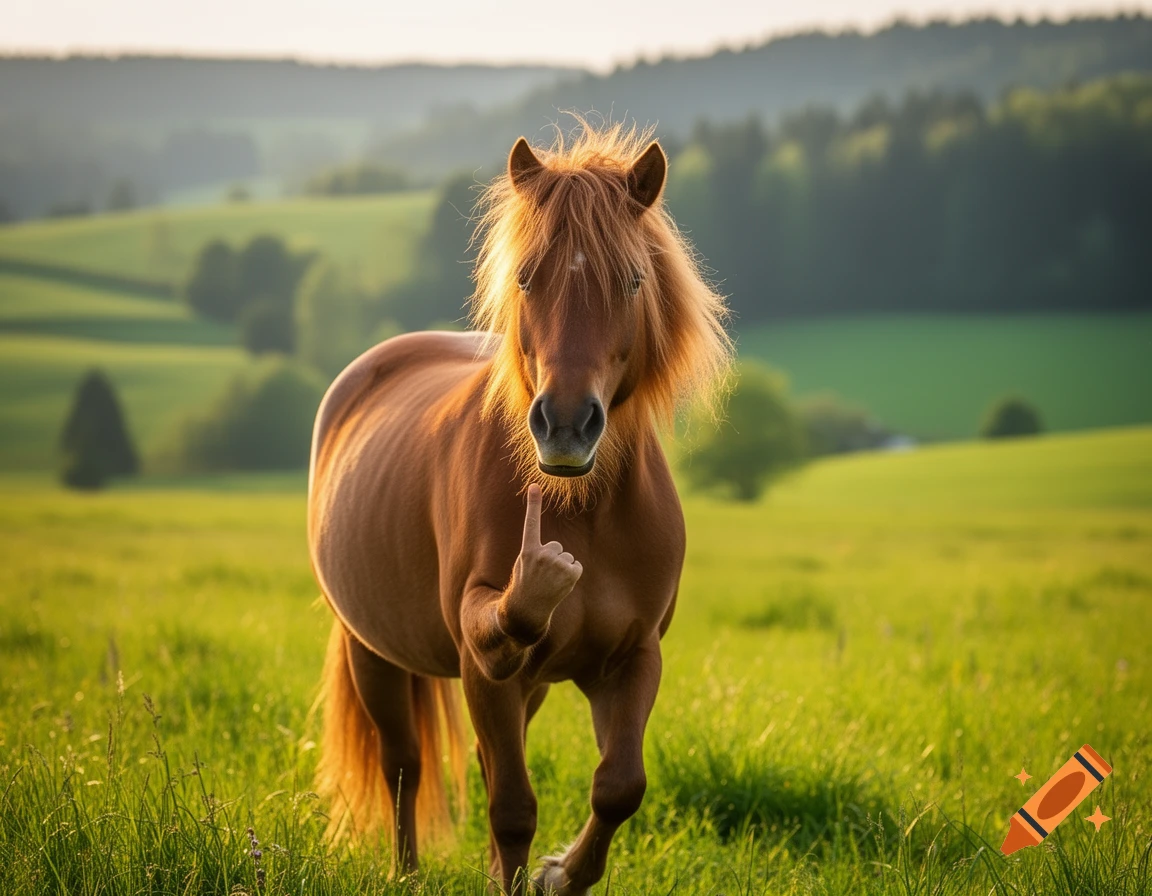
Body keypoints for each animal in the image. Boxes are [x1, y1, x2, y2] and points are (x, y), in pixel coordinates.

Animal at [306, 122, 732, 894]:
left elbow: (619, 786)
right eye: (527, 277)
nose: (565, 424)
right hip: (371, 650)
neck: (585, 509)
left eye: (632, 280)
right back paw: (406, 873)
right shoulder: (484, 662)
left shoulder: (632, 656)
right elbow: (511, 809)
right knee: (403, 764)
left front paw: (560, 874)